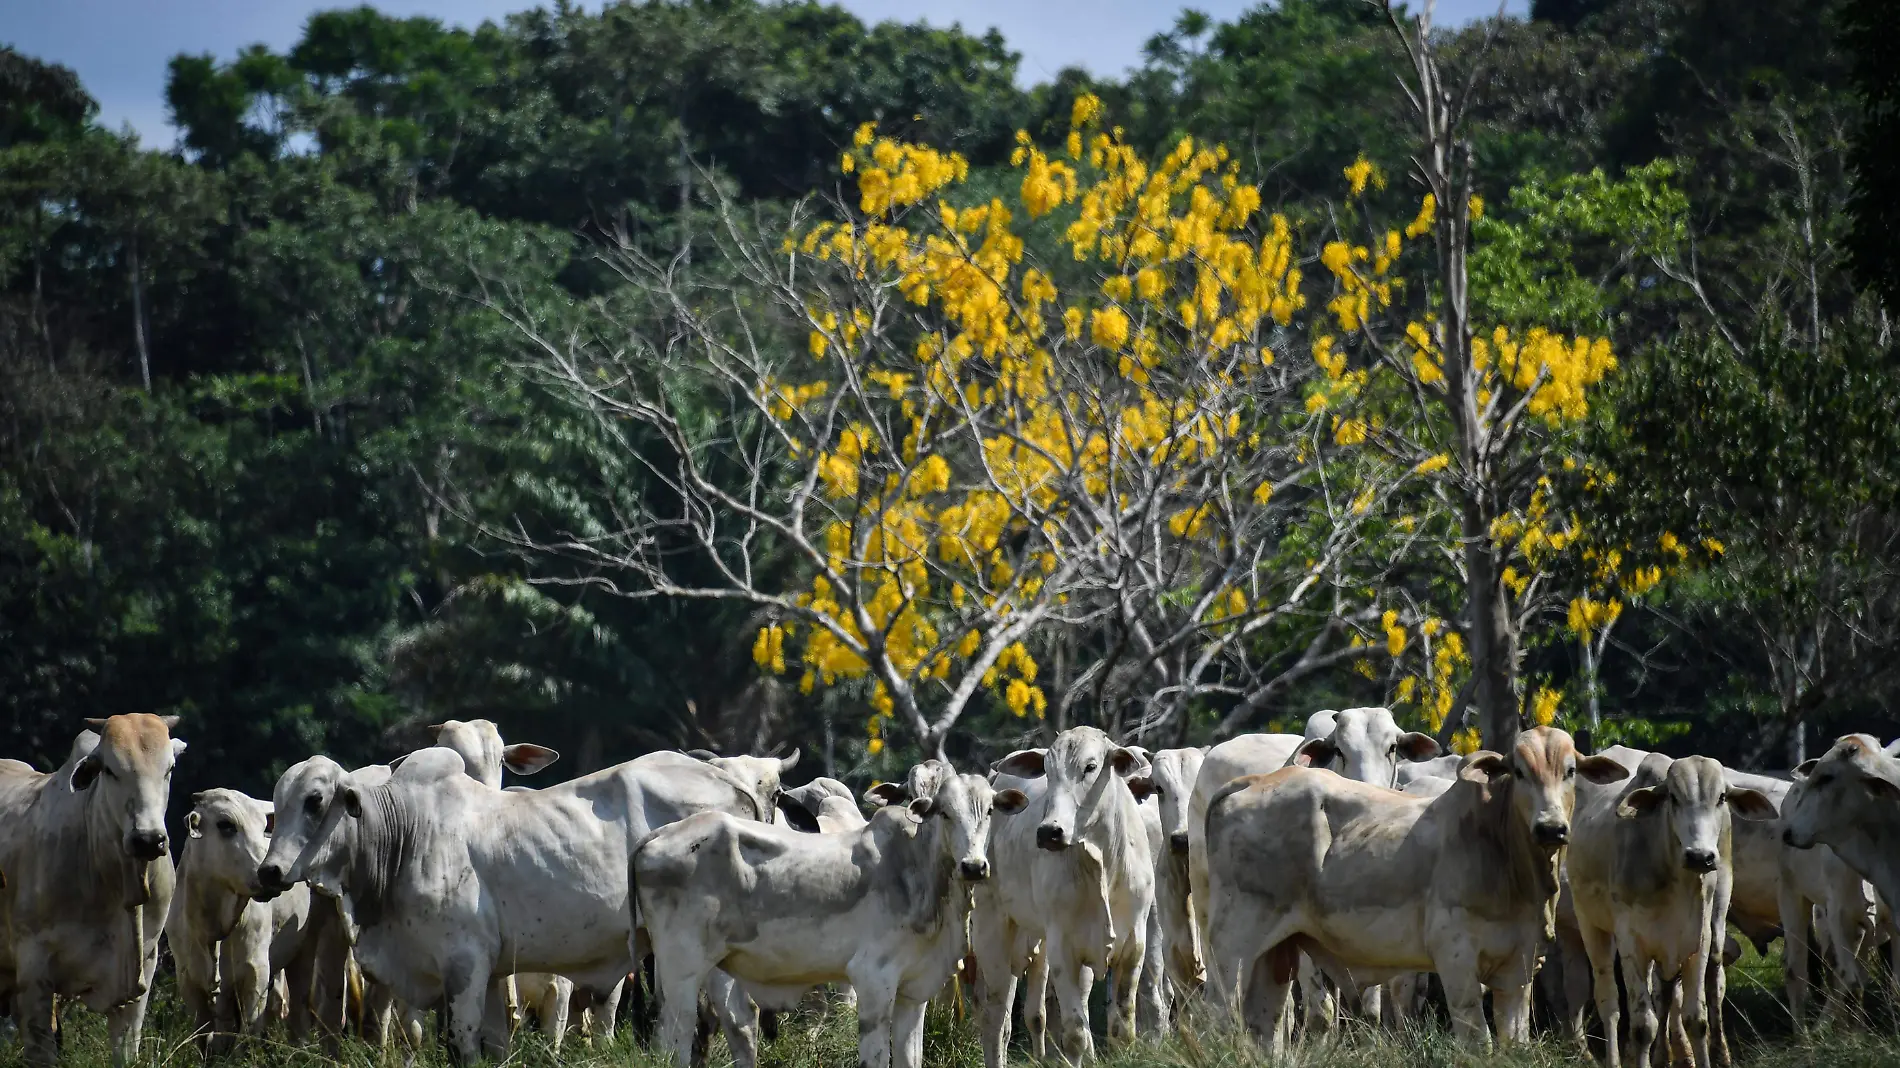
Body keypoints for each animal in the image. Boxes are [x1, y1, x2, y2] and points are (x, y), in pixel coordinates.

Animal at [634, 767, 1026, 1064]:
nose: (974, 866)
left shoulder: (913, 995)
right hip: (680, 970)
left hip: (712, 969)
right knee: (672, 1038)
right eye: (944, 812)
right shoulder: (872, 981)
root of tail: (658, 835)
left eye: (989, 811)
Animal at [980, 722, 1155, 1064]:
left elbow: (1122, 1028)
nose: (1050, 831)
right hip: (992, 930)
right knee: (996, 1021)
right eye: (1047, 771)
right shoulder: (1063, 948)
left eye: (1091, 767)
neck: (1102, 861)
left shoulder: (1133, 944)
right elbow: (1074, 1035)